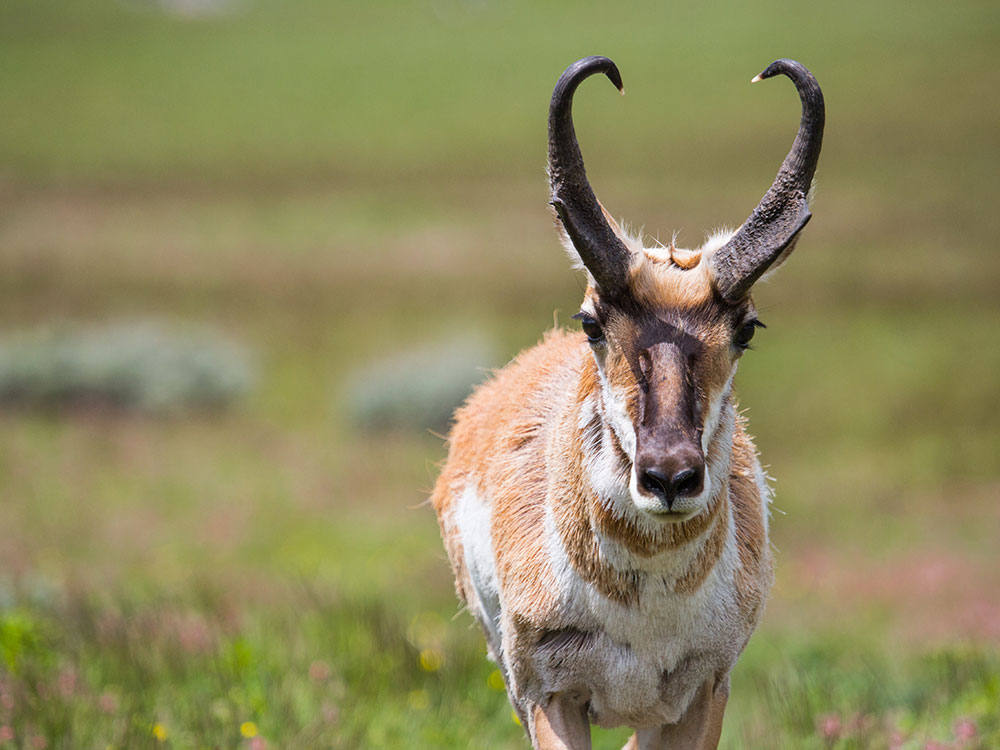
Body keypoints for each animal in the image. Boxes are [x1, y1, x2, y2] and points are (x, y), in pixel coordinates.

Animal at [430, 56, 824, 749]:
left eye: (747, 328)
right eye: (592, 320)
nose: (669, 476)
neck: (647, 602)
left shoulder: (703, 695)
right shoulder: (547, 697)